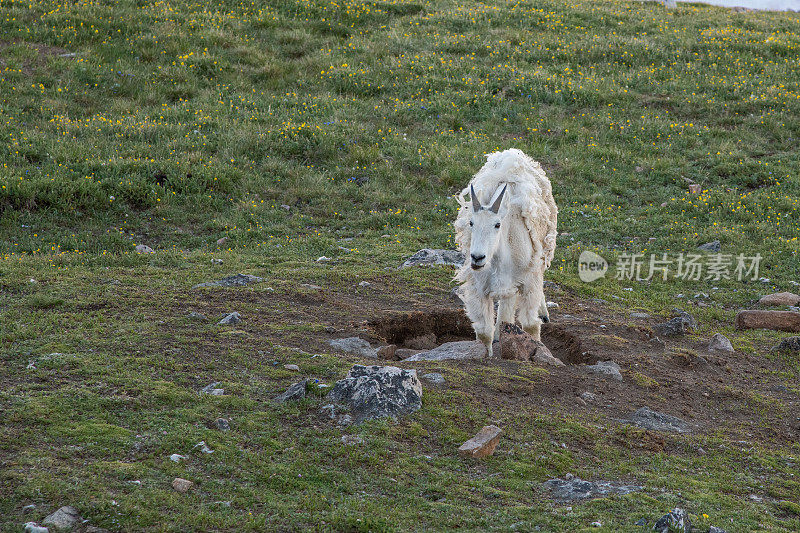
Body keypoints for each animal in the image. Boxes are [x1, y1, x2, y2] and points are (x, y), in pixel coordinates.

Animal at [454, 149, 560, 358]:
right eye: (471, 223)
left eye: (497, 224)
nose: (477, 258)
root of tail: (512, 154)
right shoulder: (479, 287)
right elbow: (484, 332)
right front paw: (488, 355)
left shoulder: (529, 281)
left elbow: (530, 325)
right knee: (506, 312)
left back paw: (543, 313)